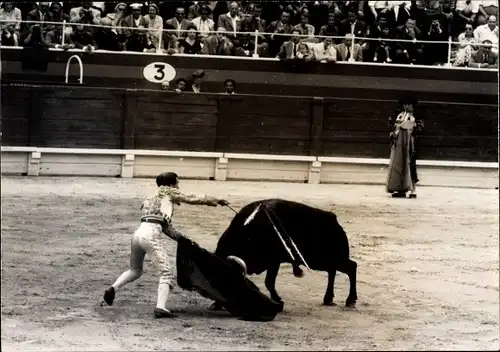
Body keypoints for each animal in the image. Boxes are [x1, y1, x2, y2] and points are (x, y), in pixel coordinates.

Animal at [213, 199, 358, 310]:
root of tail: (333, 219)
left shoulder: (274, 262)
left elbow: (269, 282)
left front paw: (278, 300)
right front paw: (216, 304)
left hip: (324, 259)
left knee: (351, 267)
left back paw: (350, 300)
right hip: (322, 261)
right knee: (332, 271)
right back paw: (328, 299)